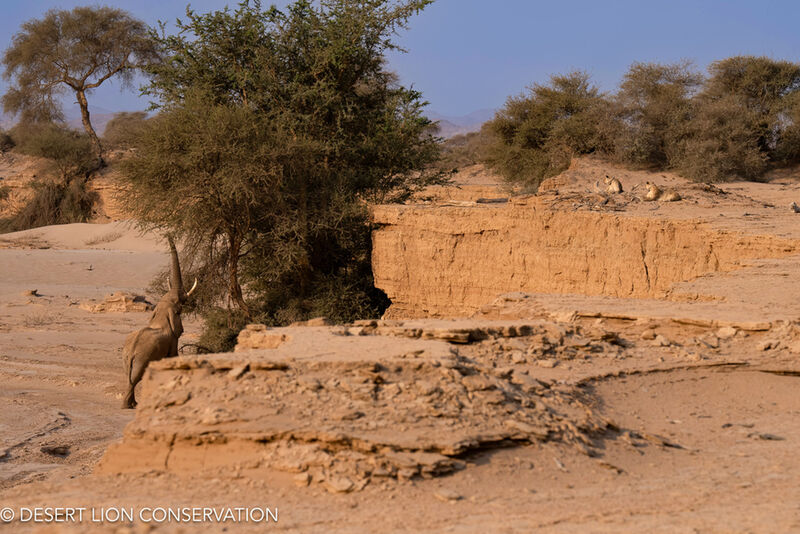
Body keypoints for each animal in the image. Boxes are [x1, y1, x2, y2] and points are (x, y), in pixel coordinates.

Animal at [122, 236, 197, 410]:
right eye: (179, 311)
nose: (168, 233)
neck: (161, 314)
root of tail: (131, 353)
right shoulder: (173, 339)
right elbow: (173, 356)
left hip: (126, 359)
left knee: (130, 378)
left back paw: (133, 405)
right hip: (142, 359)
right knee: (135, 380)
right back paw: (129, 406)